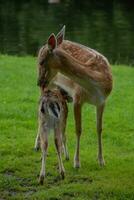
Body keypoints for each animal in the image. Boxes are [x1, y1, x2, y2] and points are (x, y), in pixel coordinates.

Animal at [36, 25, 112, 168]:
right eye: (38, 61)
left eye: (42, 61)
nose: (39, 81)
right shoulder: (78, 97)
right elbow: (78, 129)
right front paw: (76, 162)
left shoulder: (102, 101)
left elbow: (99, 128)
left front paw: (101, 160)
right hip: (49, 85)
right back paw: (37, 146)